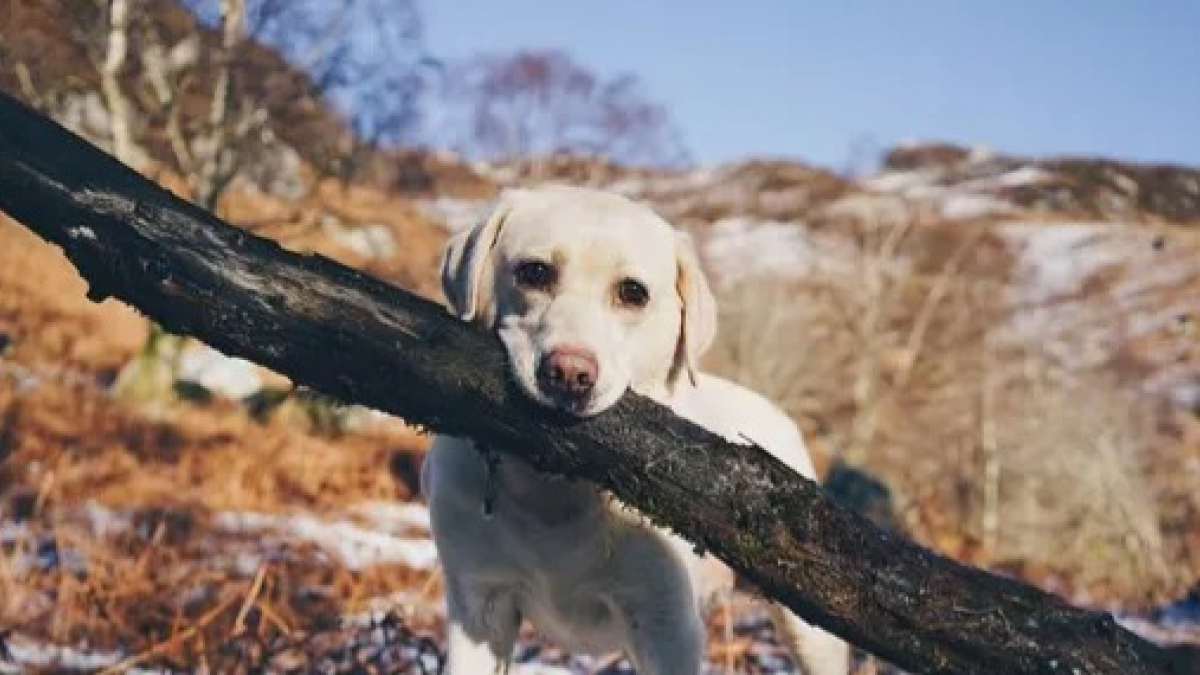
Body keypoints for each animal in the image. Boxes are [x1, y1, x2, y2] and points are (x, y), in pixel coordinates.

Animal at [427, 183, 849, 672]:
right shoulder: (480, 606)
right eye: (534, 272)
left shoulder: (666, 623)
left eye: (633, 293)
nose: (568, 374)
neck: (553, 488)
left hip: (810, 635)